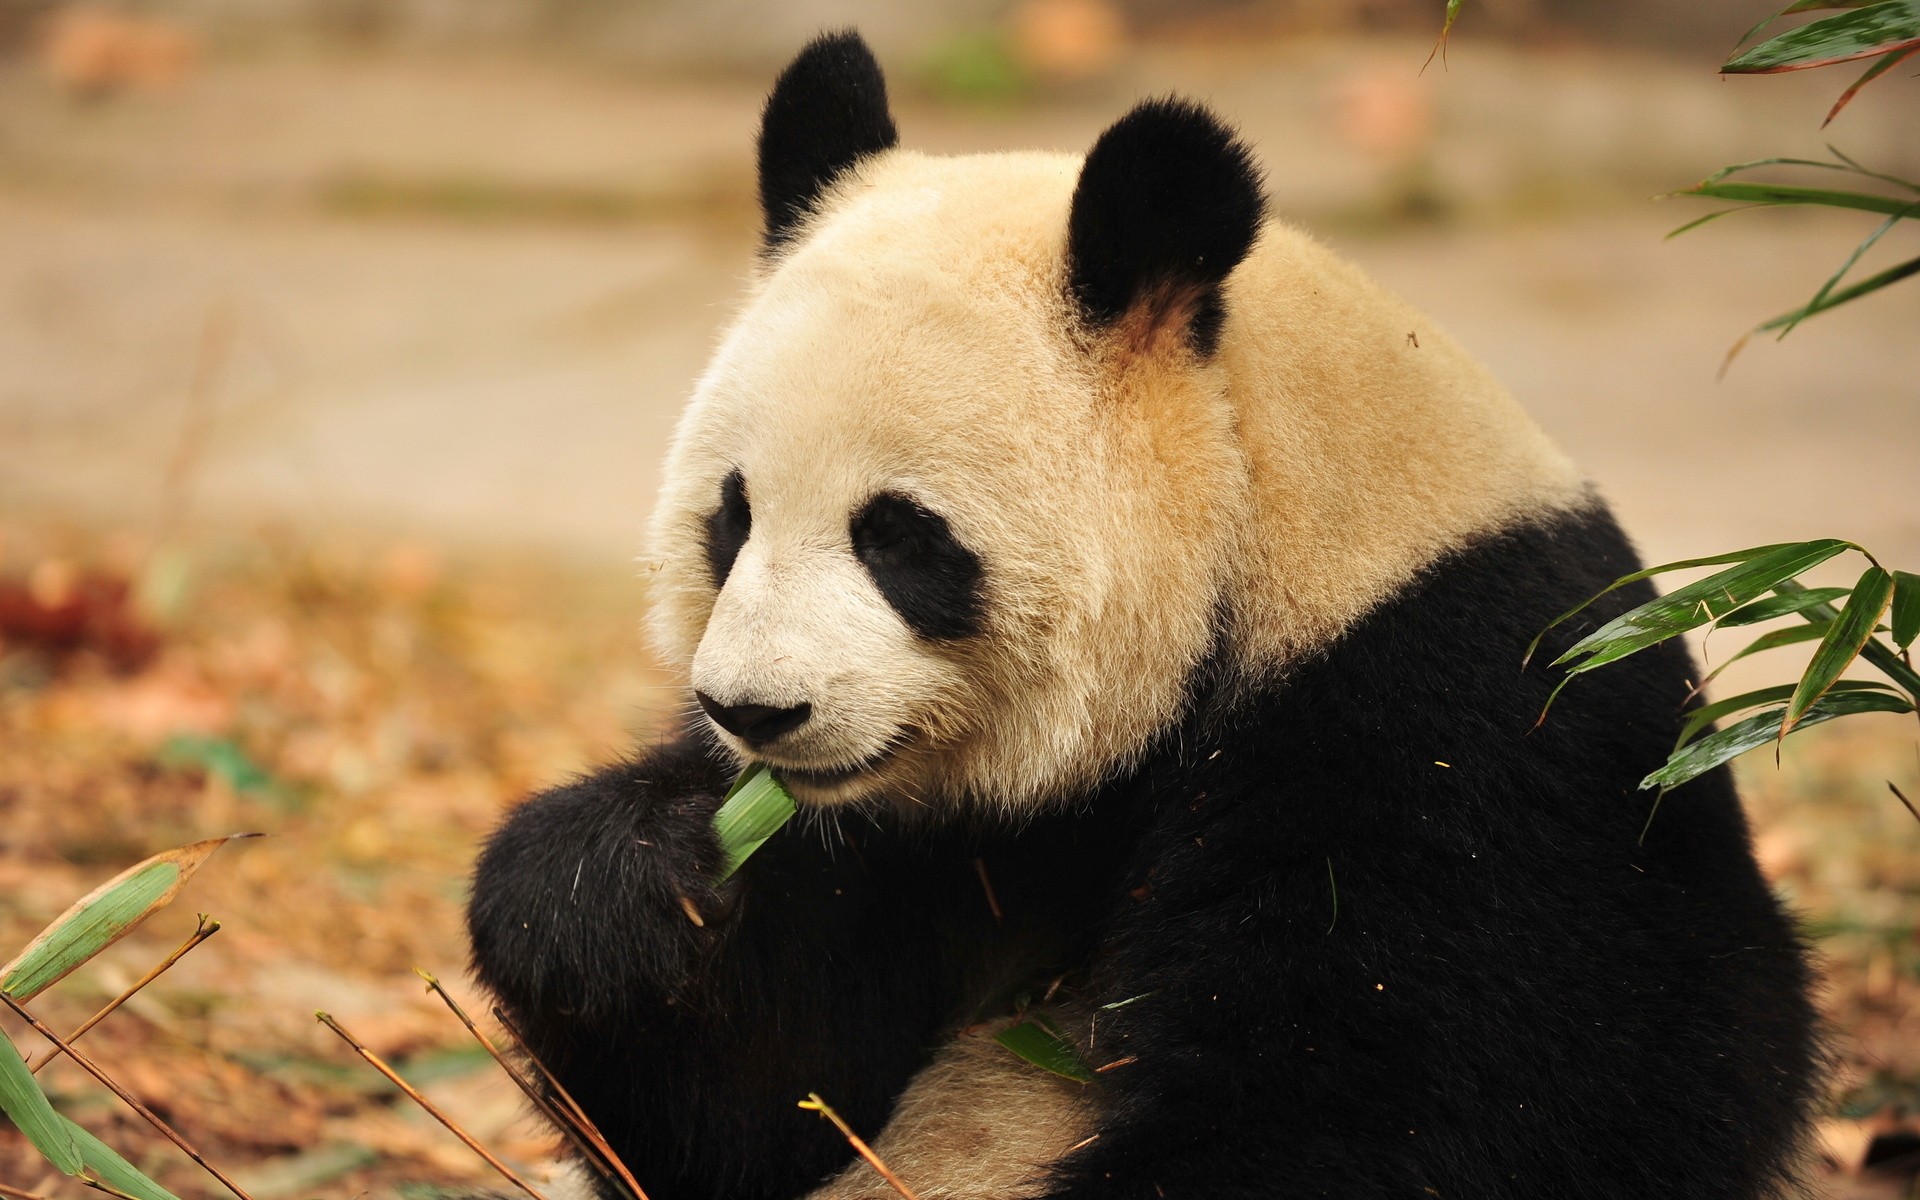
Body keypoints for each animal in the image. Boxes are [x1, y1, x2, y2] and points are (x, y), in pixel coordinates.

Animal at [460, 28, 1812, 1198]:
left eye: (899, 538)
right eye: (731, 519)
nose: (753, 711)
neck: (1268, 511)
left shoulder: (1462, 724)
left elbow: (1433, 1090)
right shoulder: (931, 842)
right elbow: (760, 1110)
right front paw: (624, 884)